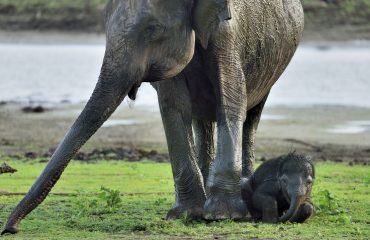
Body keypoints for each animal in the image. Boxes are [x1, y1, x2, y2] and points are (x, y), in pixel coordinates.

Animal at [2, 0, 304, 233]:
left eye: (153, 29)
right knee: (202, 121)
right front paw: (187, 214)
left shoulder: (227, 35)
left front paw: (223, 215)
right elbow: (173, 106)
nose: (11, 229)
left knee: (251, 116)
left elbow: (231, 100)